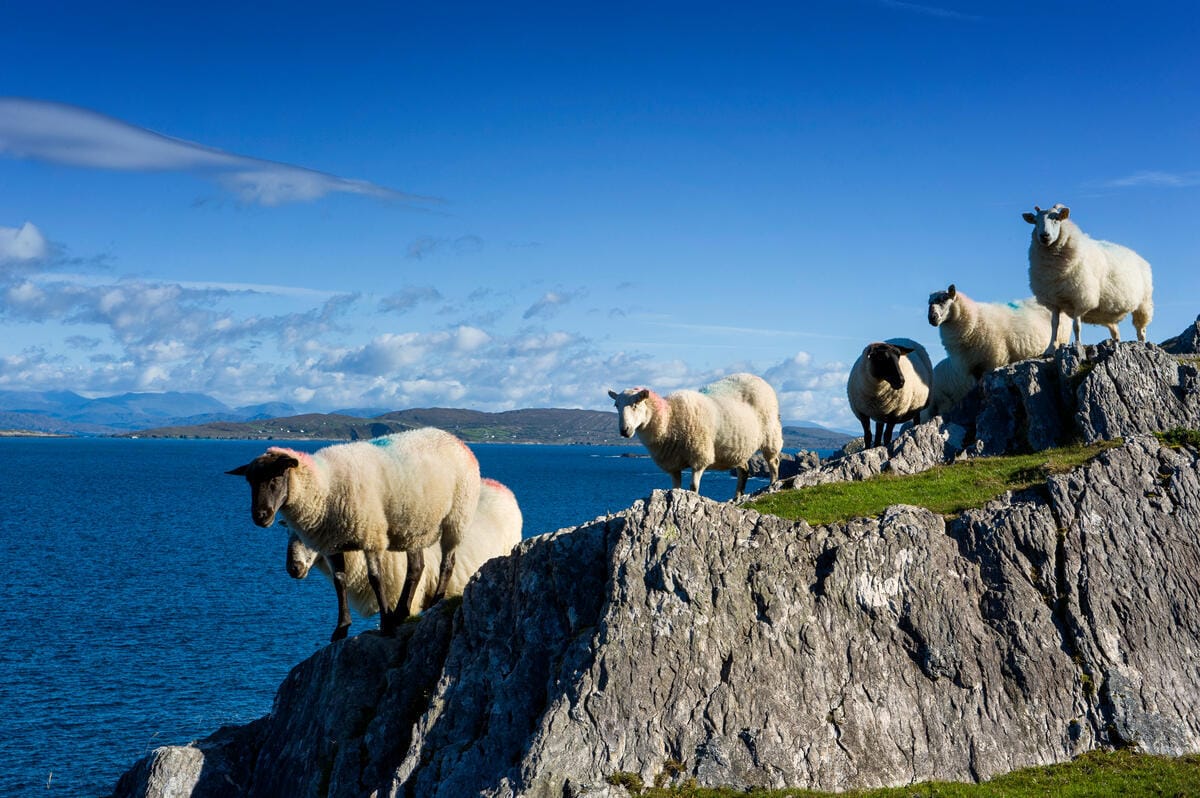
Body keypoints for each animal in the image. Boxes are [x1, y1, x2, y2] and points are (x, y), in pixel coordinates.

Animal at [227, 427, 481, 639]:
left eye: (277, 476)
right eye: (249, 481)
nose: (260, 516)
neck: (325, 486)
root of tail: (456, 440)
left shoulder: (372, 535)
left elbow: (375, 578)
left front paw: (386, 624)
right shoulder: (331, 543)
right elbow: (340, 582)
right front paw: (341, 629)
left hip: (456, 518)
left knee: (447, 563)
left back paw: (435, 603)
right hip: (414, 527)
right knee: (416, 568)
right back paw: (401, 613)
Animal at [607, 372, 783, 498]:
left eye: (635, 404)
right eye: (616, 405)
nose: (624, 430)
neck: (669, 418)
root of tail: (756, 377)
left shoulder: (699, 457)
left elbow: (693, 487)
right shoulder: (673, 464)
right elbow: (675, 488)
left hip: (771, 433)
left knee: (773, 462)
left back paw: (772, 485)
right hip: (739, 448)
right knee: (744, 470)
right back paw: (736, 498)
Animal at [927, 285, 1069, 380]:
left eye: (943, 299)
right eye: (929, 303)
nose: (931, 318)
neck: (974, 320)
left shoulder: (994, 361)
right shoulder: (974, 368)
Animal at [1023, 204, 1154, 356]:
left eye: (1056, 219)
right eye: (1036, 222)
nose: (1044, 236)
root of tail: (1139, 257)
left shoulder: (1081, 298)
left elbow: (1076, 326)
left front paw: (1077, 346)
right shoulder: (1054, 301)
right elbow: (1054, 325)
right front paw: (1050, 348)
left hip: (1143, 303)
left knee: (1141, 330)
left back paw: (1142, 344)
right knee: (1116, 333)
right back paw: (1116, 344)